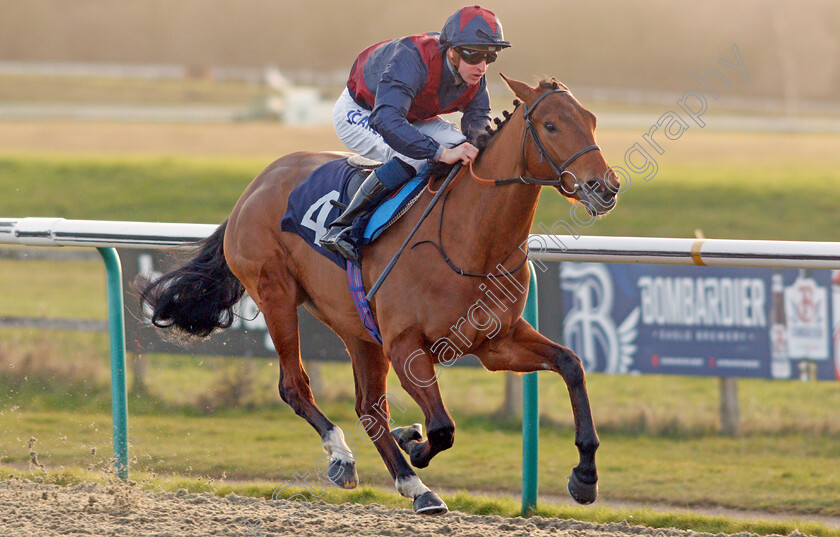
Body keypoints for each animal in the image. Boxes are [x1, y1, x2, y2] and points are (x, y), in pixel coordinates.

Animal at [141, 75, 620, 516]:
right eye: (552, 125)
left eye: (592, 120)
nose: (605, 187)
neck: (469, 240)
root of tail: (256, 184)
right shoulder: (407, 344)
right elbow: (442, 427)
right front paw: (416, 446)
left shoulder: (495, 342)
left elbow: (570, 364)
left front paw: (585, 477)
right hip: (276, 295)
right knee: (296, 386)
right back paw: (355, 460)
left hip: (357, 327)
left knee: (370, 408)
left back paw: (409, 473)